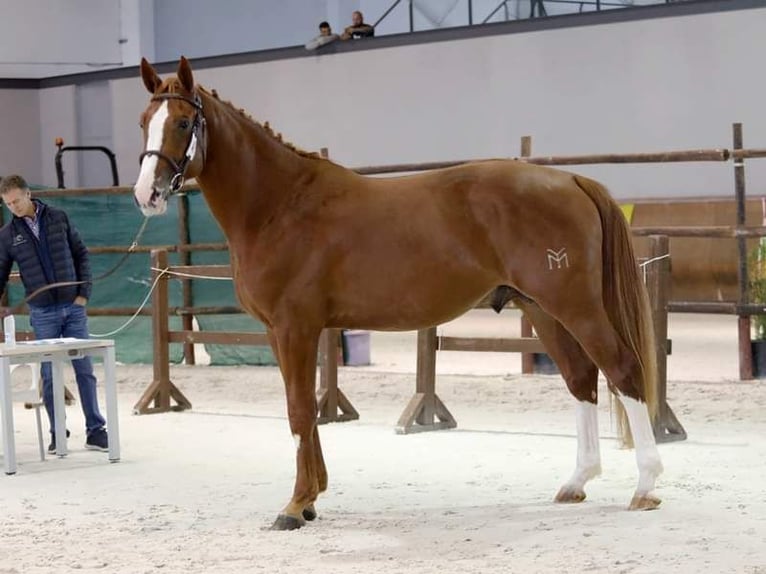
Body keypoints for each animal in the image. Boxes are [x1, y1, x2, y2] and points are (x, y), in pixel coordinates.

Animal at [135, 57, 664, 532]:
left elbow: (301, 410)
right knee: (582, 378)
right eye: (143, 123)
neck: (280, 205)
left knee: (623, 369)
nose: (147, 195)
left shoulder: (295, 328)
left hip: (575, 306)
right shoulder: (280, 333)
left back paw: (645, 487)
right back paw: (577, 481)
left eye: (183, 122)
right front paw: (312, 498)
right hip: (542, 310)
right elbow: (303, 411)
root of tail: (571, 178)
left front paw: (295, 505)